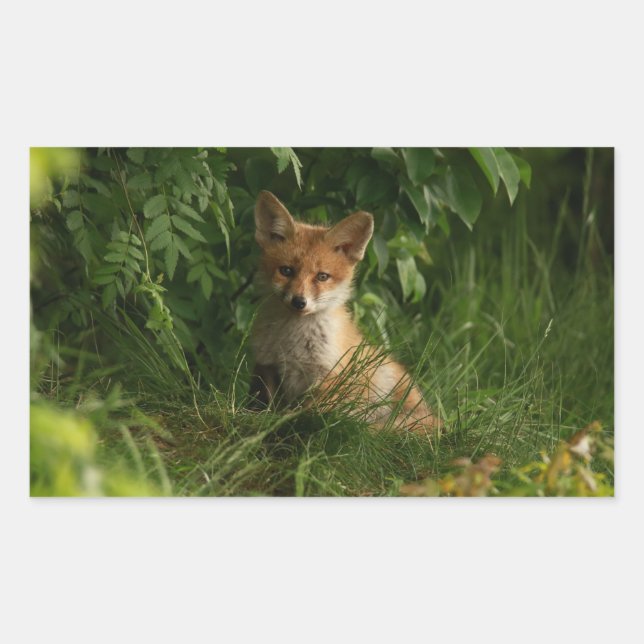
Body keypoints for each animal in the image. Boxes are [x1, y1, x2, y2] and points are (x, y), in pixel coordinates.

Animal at [249, 190, 439, 436]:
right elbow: (264, 404)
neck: (292, 343)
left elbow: (309, 413)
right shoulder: (267, 365)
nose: (299, 302)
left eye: (322, 276)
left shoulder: (329, 376)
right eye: (286, 271)